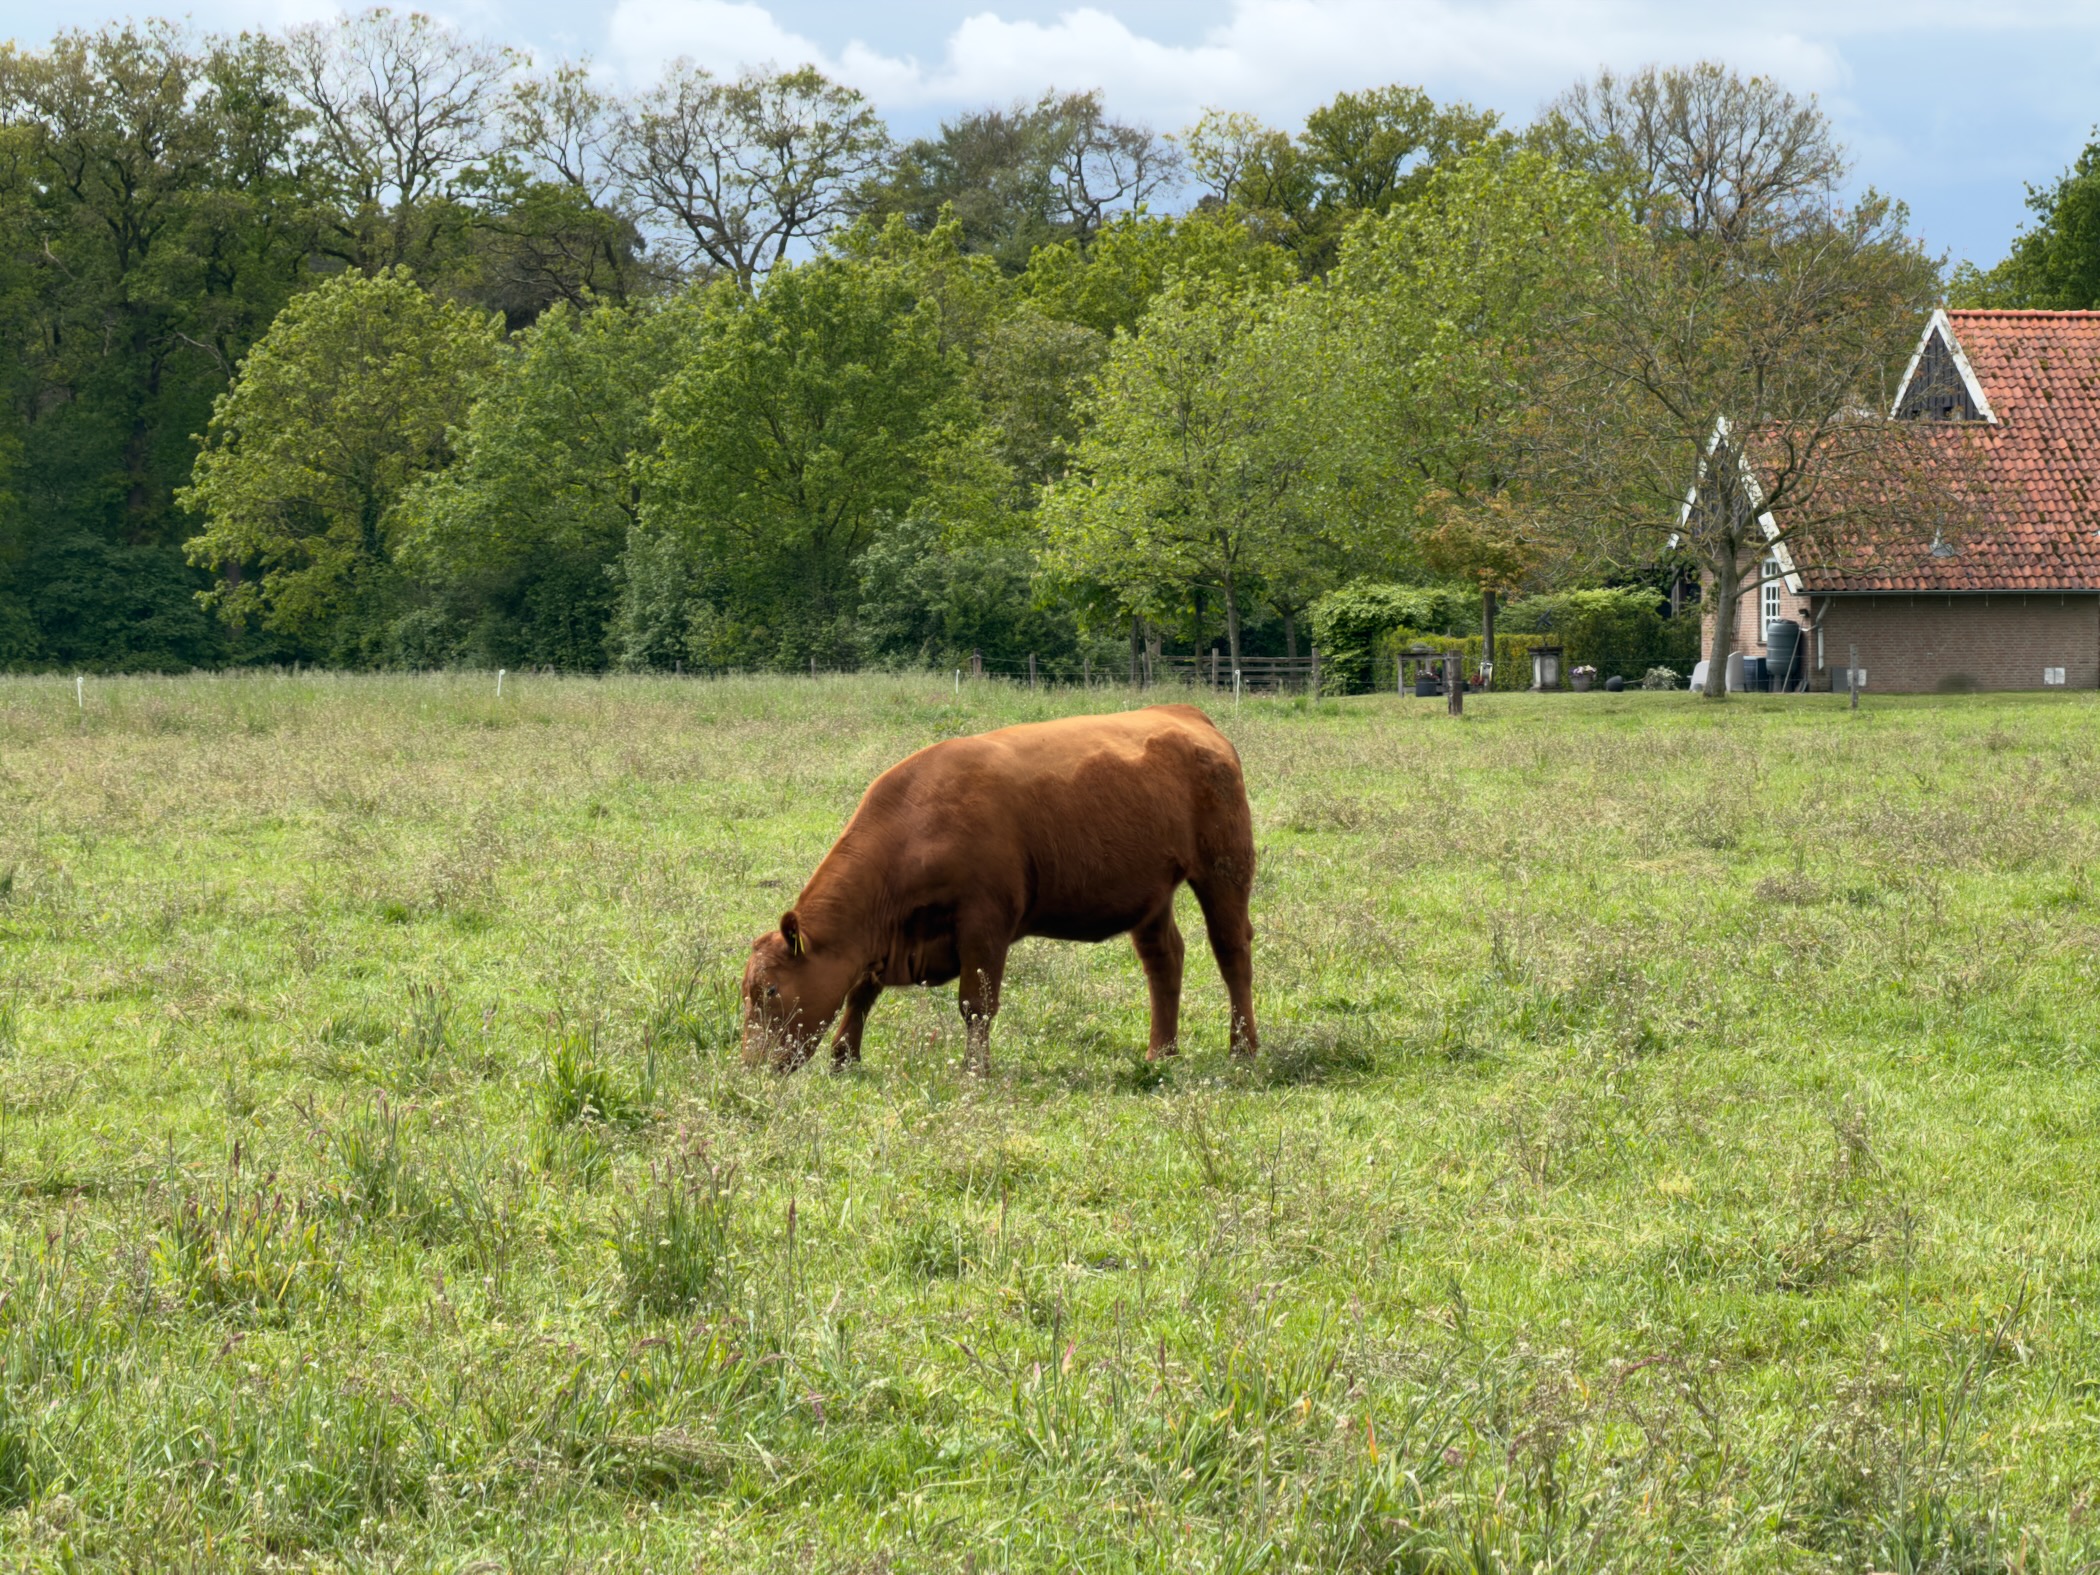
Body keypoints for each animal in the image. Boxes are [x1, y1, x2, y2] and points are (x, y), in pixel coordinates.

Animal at [741, 703, 1257, 1072]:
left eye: (770, 990)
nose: (750, 1067)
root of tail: (1183, 712)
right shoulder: (884, 940)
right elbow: (860, 992)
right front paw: (844, 1057)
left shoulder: (984, 922)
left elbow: (976, 1004)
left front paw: (975, 1070)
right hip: (1150, 894)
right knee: (1164, 960)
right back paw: (1161, 1053)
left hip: (1224, 869)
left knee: (1232, 953)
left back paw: (1243, 1050)